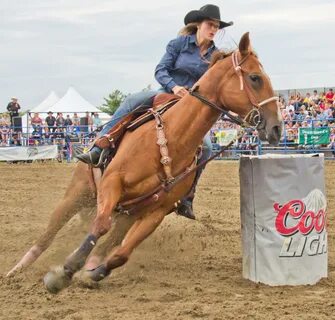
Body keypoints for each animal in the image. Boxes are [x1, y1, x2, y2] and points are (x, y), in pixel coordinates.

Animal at [7, 32, 284, 290]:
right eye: (255, 78)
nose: (277, 128)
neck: (171, 136)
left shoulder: (156, 211)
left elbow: (121, 253)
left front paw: (91, 274)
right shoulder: (112, 183)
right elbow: (99, 226)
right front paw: (64, 271)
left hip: (127, 213)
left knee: (110, 241)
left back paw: (90, 265)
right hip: (77, 194)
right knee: (49, 234)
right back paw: (16, 270)